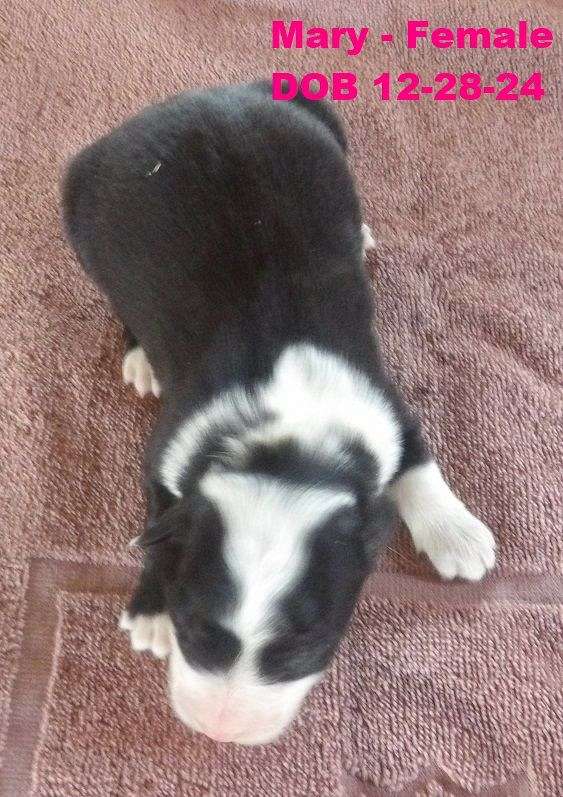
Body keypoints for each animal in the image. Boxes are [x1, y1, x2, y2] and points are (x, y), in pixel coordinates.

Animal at [59, 77, 496, 744]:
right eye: (190, 625)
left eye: (305, 649)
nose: (220, 733)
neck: (286, 444)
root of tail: (207, 94)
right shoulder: (167, 450)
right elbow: (162, 520)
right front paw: (150, 609)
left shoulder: (383, 398)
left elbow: (418, 460)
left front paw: (457, 534)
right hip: (85, 225)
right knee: (119, 299)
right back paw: (140, 359)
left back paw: (363, 233)